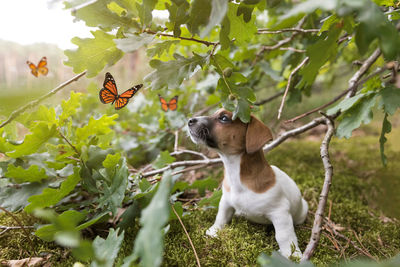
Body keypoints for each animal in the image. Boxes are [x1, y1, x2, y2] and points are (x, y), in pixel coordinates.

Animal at [188, 109, 310, 260]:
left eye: (224, 118)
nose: (190, 120)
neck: (237, 175)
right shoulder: (225, 201)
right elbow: (221, 216)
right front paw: (214, 230)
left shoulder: (280, 213)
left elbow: (284, 235)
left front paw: (291, 254)